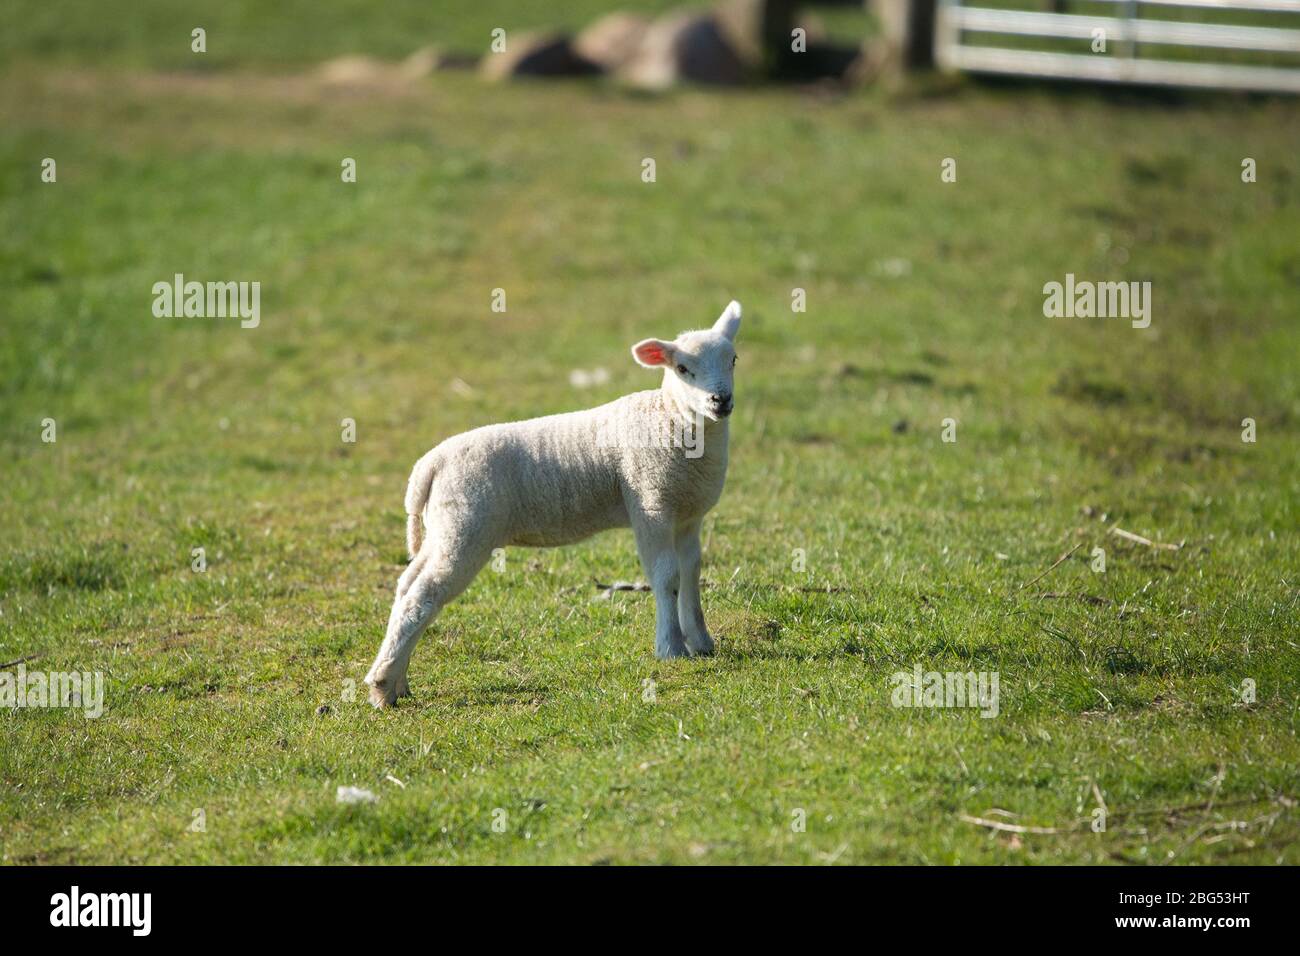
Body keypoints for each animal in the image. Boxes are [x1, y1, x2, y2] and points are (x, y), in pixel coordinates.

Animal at [364, 303, 743, 707]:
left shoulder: (688, 514)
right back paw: (383, 684)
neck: (670, 417)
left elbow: (690, 573)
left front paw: (701, 642)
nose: (720, 400)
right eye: (682, 369)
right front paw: (671, 648)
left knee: (407, 585)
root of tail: (428, 465)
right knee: (422, 595)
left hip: (443, 529)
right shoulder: (651, 503)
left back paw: (398, 681)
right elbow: (666, 575)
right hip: (465, 526)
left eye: (733, 359)